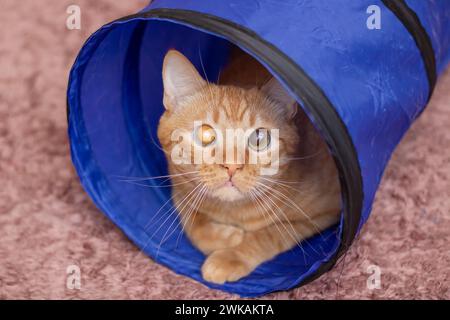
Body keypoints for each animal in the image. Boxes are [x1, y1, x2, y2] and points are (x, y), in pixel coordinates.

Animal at [158, 47, 342, 282]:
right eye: (206, 134)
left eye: (259, 138)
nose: (232, 166)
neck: (231, 211)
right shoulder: (180, 191)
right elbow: (193, 223)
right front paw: (228, 238)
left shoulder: (324, 213)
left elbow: (270, 234)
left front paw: (230, 256)